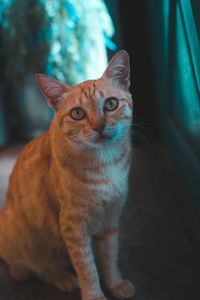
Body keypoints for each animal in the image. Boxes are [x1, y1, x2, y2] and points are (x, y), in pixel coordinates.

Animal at [0, 51, 135, 300]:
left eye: (111, 104)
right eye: (77, 113)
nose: (99, 126)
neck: (105, 164)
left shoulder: (110, 219)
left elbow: (110, 256)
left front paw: (115, 283)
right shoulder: (74, 229)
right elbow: (87, 267)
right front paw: (94, 295)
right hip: (22, 239)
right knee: (34, 269)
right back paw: (62, 278)